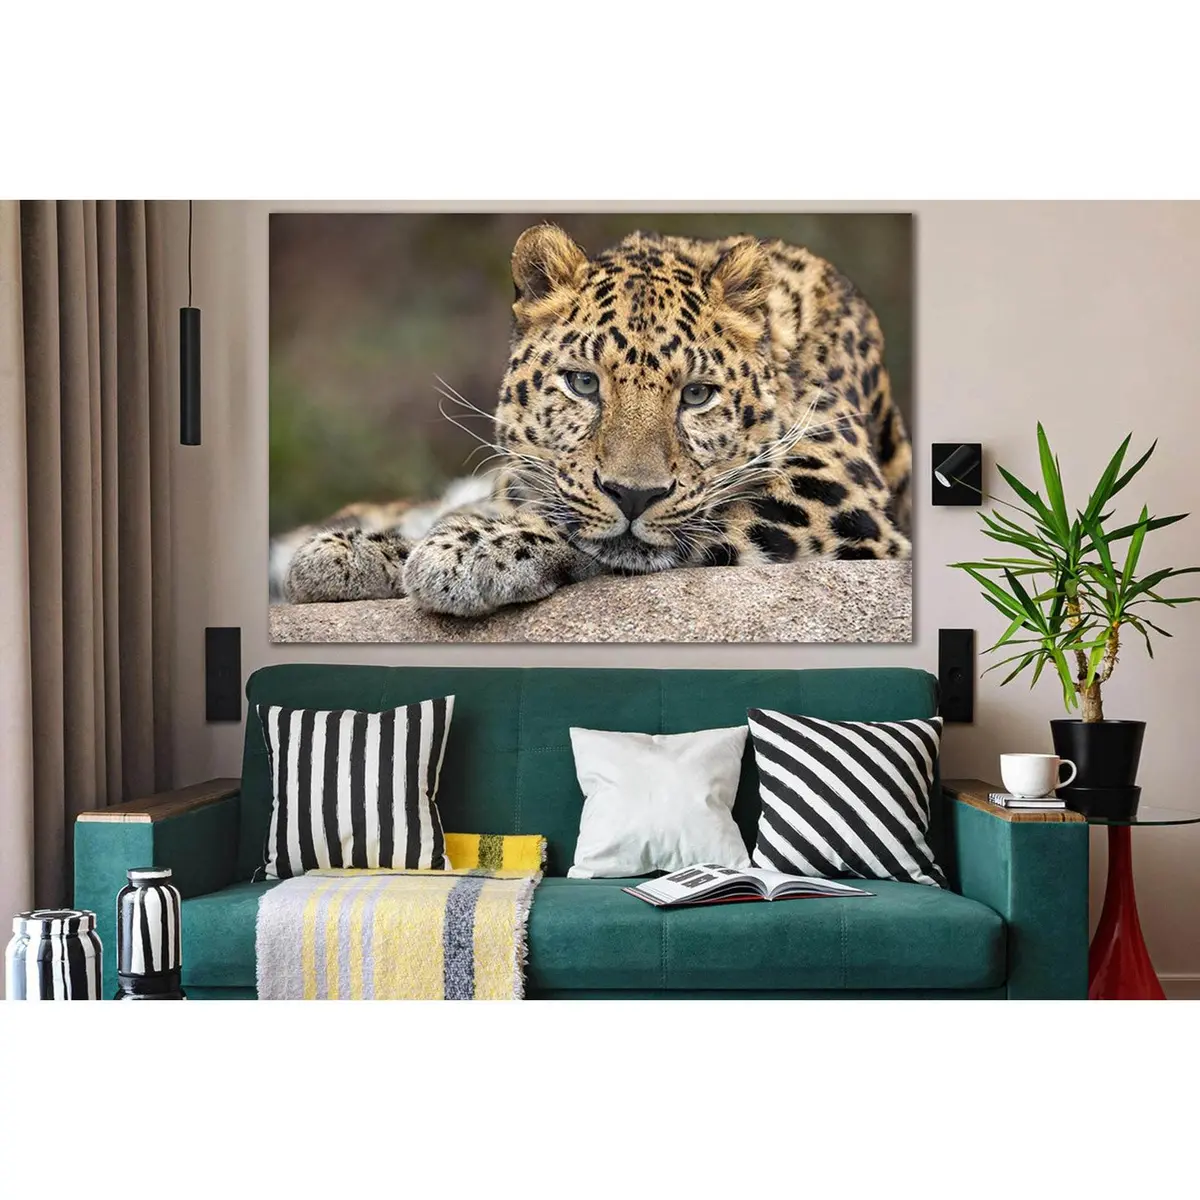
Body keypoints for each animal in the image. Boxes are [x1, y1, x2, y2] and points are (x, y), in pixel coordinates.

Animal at [278, 223, 912, 617]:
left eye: (697, 395)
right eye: (584, 384)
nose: (634, 495)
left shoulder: (835, 493)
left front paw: (467, 553)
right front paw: (359, 552)